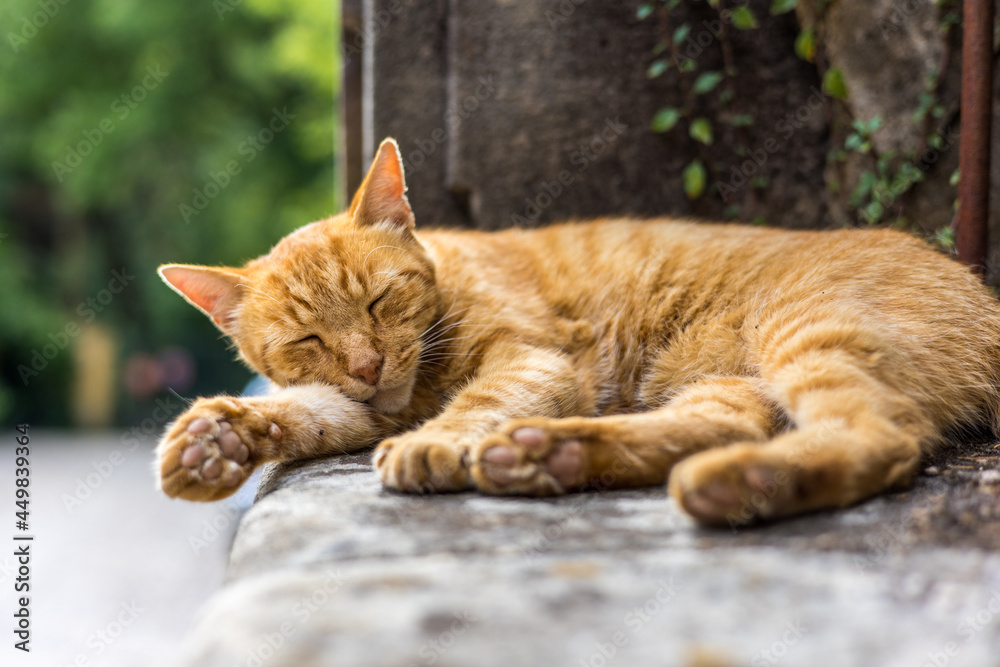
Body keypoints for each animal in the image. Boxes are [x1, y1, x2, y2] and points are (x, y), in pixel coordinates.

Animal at [152, 138, 1000, 528]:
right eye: (308, 342)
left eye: (380, 301)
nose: (365, 362)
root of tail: (983, 292)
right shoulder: (358, 405)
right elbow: (306, 412)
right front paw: (215, 440)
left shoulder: (533, 357)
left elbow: (477, 399)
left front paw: (436, 443)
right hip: (734, 385)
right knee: (711, 427)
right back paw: (550, 455)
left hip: (808, 333)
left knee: (883, 437)